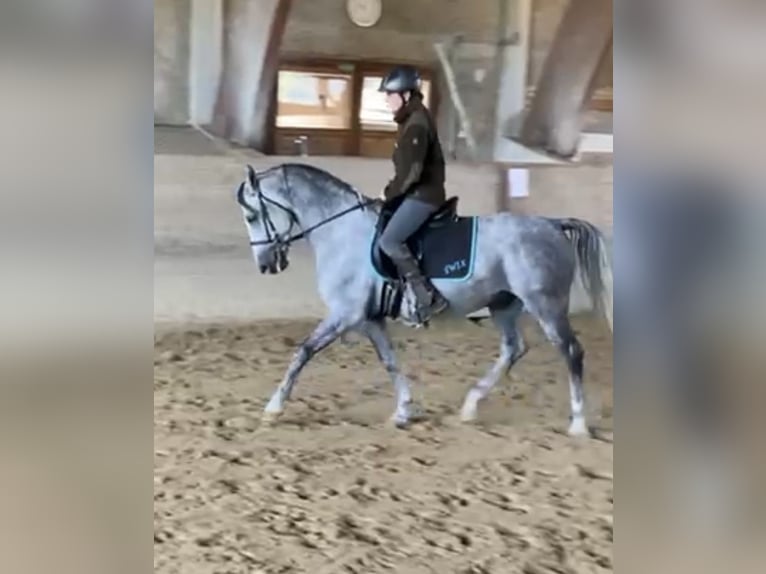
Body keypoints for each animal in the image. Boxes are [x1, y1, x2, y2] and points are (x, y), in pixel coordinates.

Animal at [237, 162, 616, 436]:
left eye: (252, 215)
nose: (266, 265)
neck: (341, 232)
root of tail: (552, 224)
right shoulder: (368, 319)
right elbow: (389, 361)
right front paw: (403, 412)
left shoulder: (345, 314)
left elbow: (303, 351)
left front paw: (273, 409)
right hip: (504, 304)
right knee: (513, 349)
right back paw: (470, 407)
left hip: (545, 304)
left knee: (570, 351)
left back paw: (578, 423)